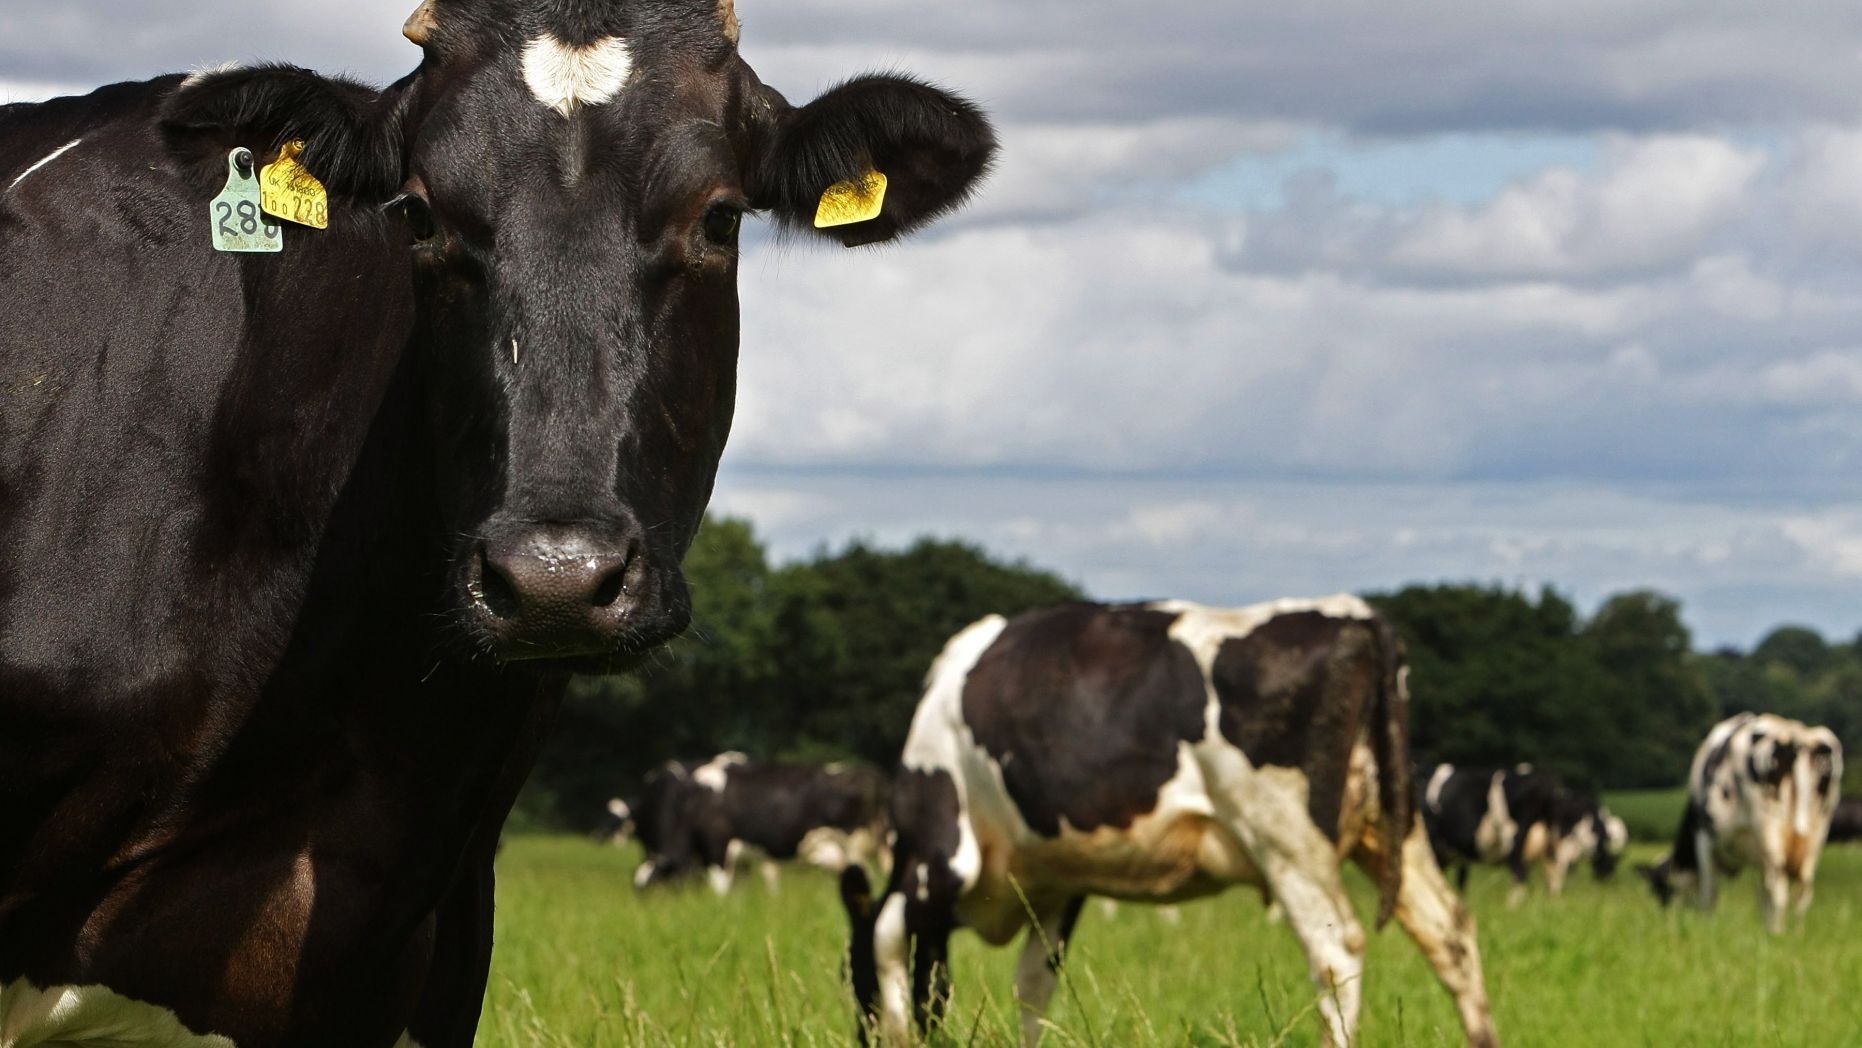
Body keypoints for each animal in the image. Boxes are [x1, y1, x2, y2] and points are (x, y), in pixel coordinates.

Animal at [631, 753, 889, 894]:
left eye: (656, 888)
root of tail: (871, 772)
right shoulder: (739, 859)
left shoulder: (718, 847)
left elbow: (719, 890)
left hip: (854, 846)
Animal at [839, 597, 1499, 1048]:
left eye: (852, 978)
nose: (858, 1033)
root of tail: (1354, 617)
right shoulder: (1057, 885)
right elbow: (1034, 986)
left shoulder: (941, 854)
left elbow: (889, 941)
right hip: (1391, 828)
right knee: (1451, 934)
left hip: (1286, 838)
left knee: (1336, 950)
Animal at [1421, 764, 1627, 905]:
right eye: (1610, 868)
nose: (1605, 883)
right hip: (1548, 842)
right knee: (1550, 872)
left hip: (1515, 837)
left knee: (1523, 872)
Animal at [1639, 713, 1842, 933]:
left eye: (1659, 888)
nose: (1665, 915)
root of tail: (1795, 737)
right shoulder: (1758, 860)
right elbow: (1762, 897)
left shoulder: (1704, 838)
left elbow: (1709, 894)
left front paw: (1708, 927)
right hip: (1816, 835)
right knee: (1802, 895)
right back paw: (1796, 934)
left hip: (1769, 830)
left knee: (1779, 893)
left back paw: (1777, 934)